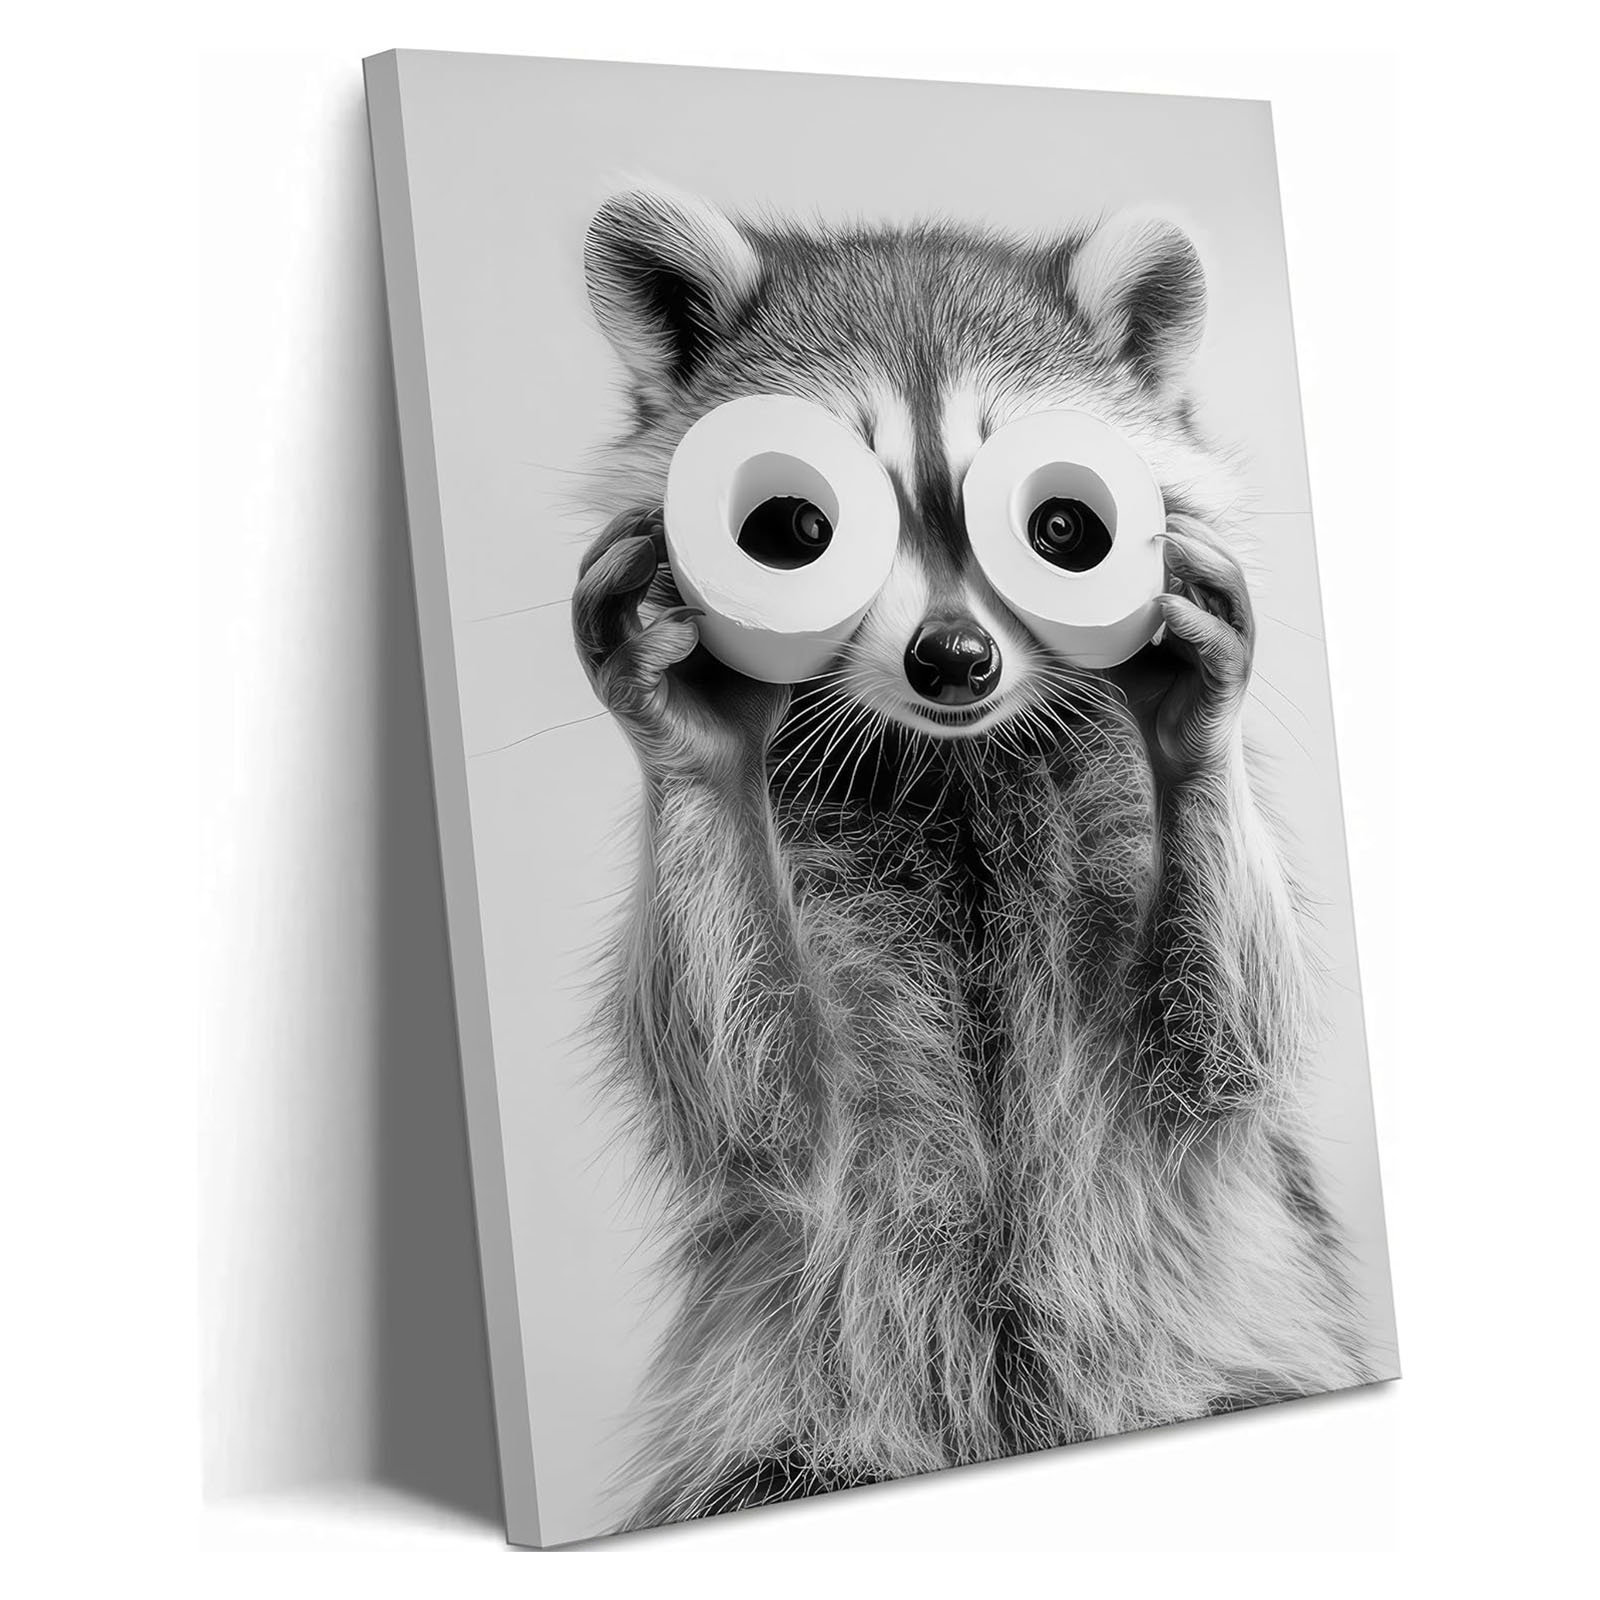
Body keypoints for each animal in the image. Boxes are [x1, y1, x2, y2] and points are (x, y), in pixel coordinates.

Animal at [573, 186, 1370, 1531]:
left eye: (1061, 527)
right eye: (797, 528)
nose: (953, 659)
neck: (956, 762)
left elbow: (1220, 1048)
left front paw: (1196, 726)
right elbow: (764, 1110)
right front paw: (688, 735)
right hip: (791, 1427)